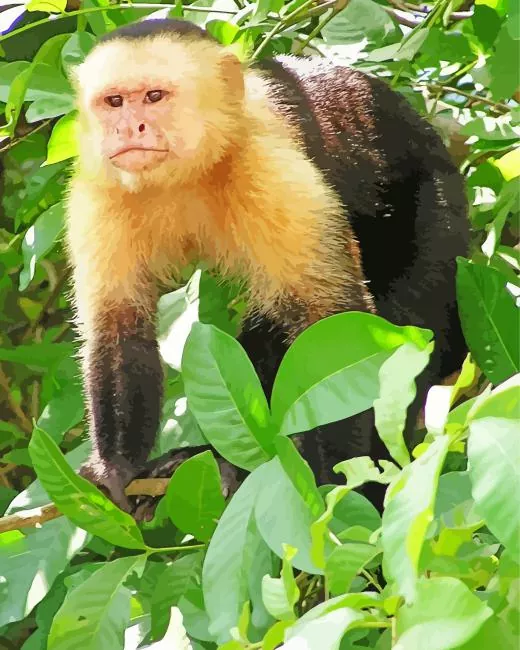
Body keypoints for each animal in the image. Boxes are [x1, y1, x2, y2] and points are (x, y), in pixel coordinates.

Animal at [65, 18, 468, 512]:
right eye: (114, 102)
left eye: (155, 97)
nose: (128, 128)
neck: (186, 175)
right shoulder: (99, 187)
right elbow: (118, 326)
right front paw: (116, 469)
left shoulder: (270, 169)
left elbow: (332, 325)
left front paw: (331, 490)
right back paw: (213, 461)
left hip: (437, 212)